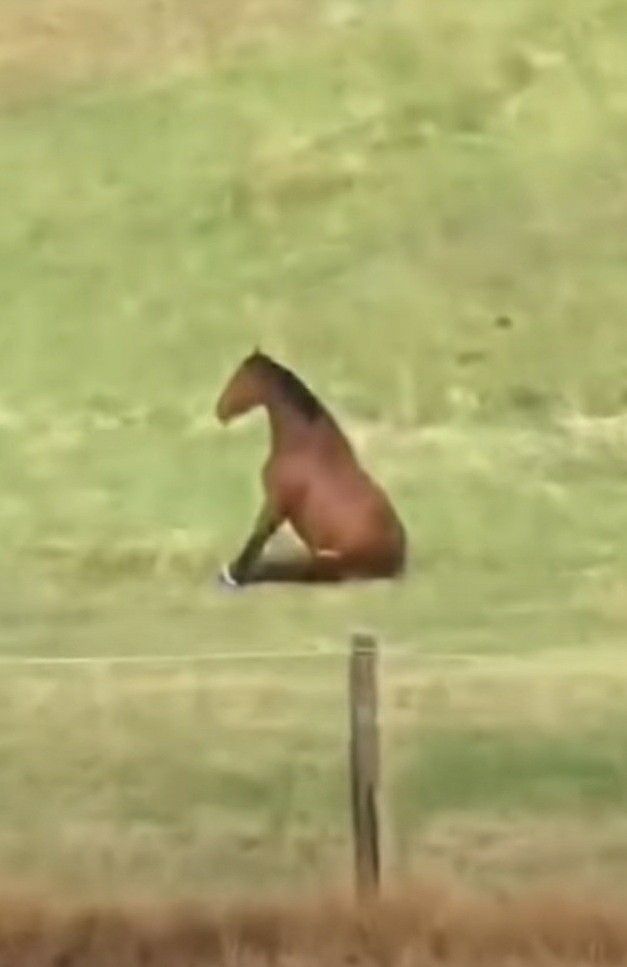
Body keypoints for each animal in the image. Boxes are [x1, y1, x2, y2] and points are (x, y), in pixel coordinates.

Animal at [216, 352, 408, 588]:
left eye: (241, 379)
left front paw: (234, 575)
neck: (303, 446)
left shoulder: (277, 503)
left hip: (328, 561)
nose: (220, 410)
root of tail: (399, 558)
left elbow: (257, 537)